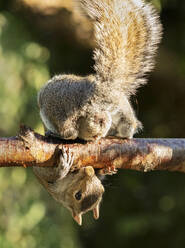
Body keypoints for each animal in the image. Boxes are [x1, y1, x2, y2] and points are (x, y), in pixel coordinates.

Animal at [33, 0, 162, 225]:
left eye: (79, 195)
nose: (89, 171)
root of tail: (98, 94)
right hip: (119, 120)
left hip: (54, 110)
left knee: (69, 133)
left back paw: (56, 134)